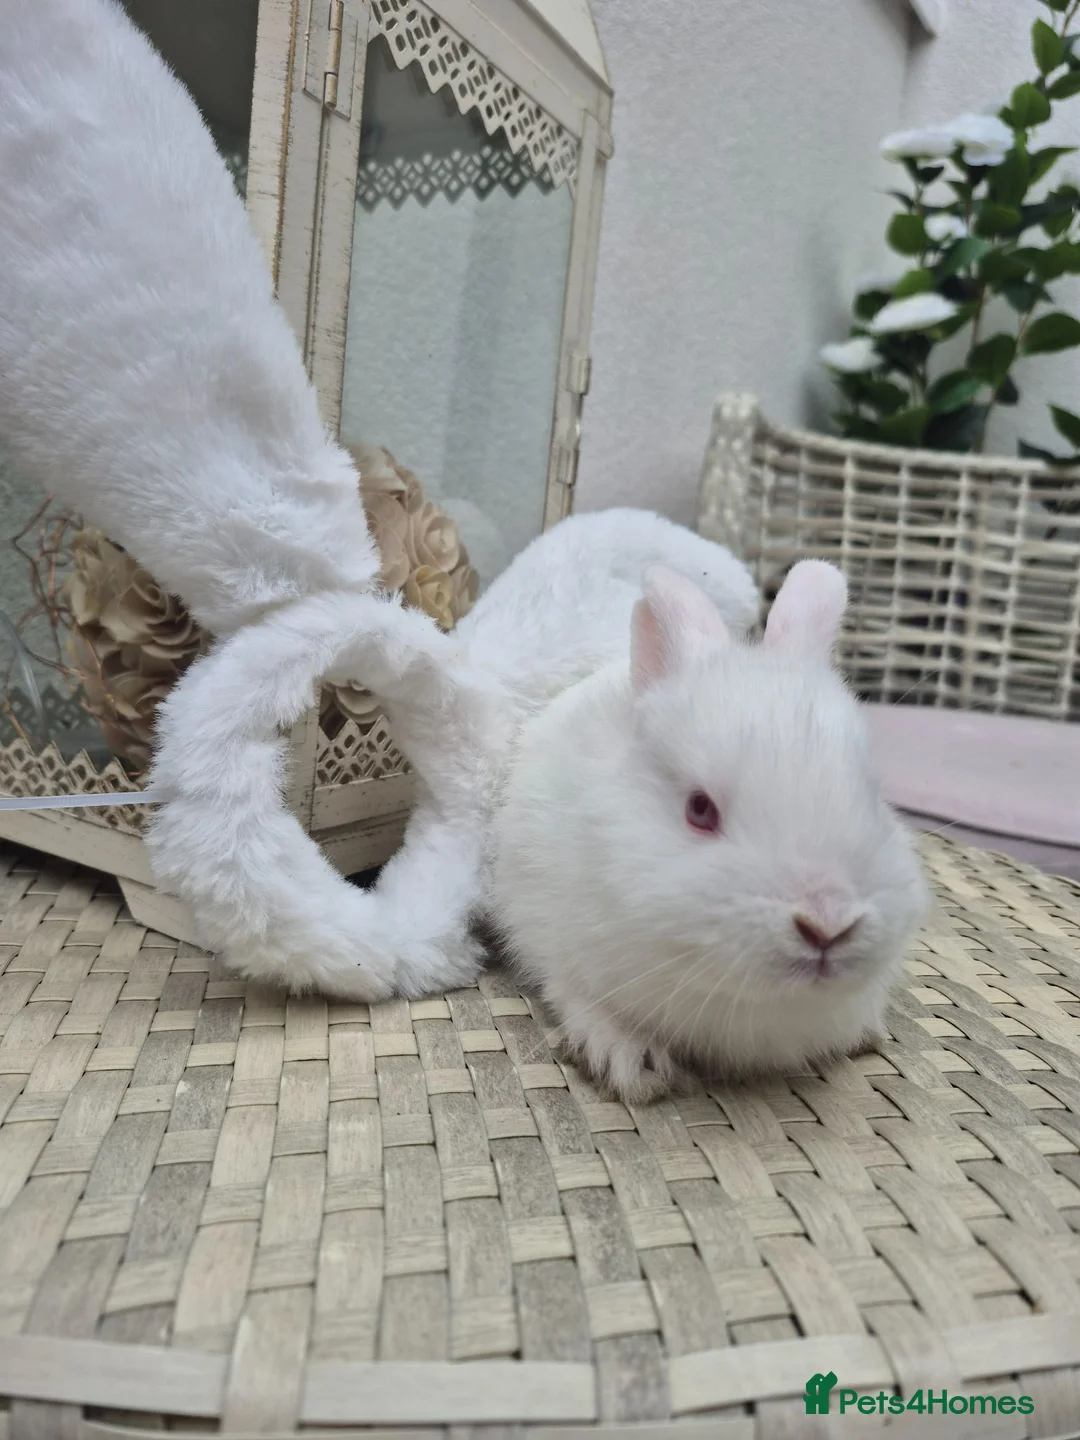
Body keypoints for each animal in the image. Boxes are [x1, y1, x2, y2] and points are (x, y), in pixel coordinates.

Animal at [487, 557, 929, 1104]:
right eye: (699, 810)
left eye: (872, 791)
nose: (828, 924)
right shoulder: (551, 936)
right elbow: (578, 997)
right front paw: (633, 1065)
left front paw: (868, 1031)